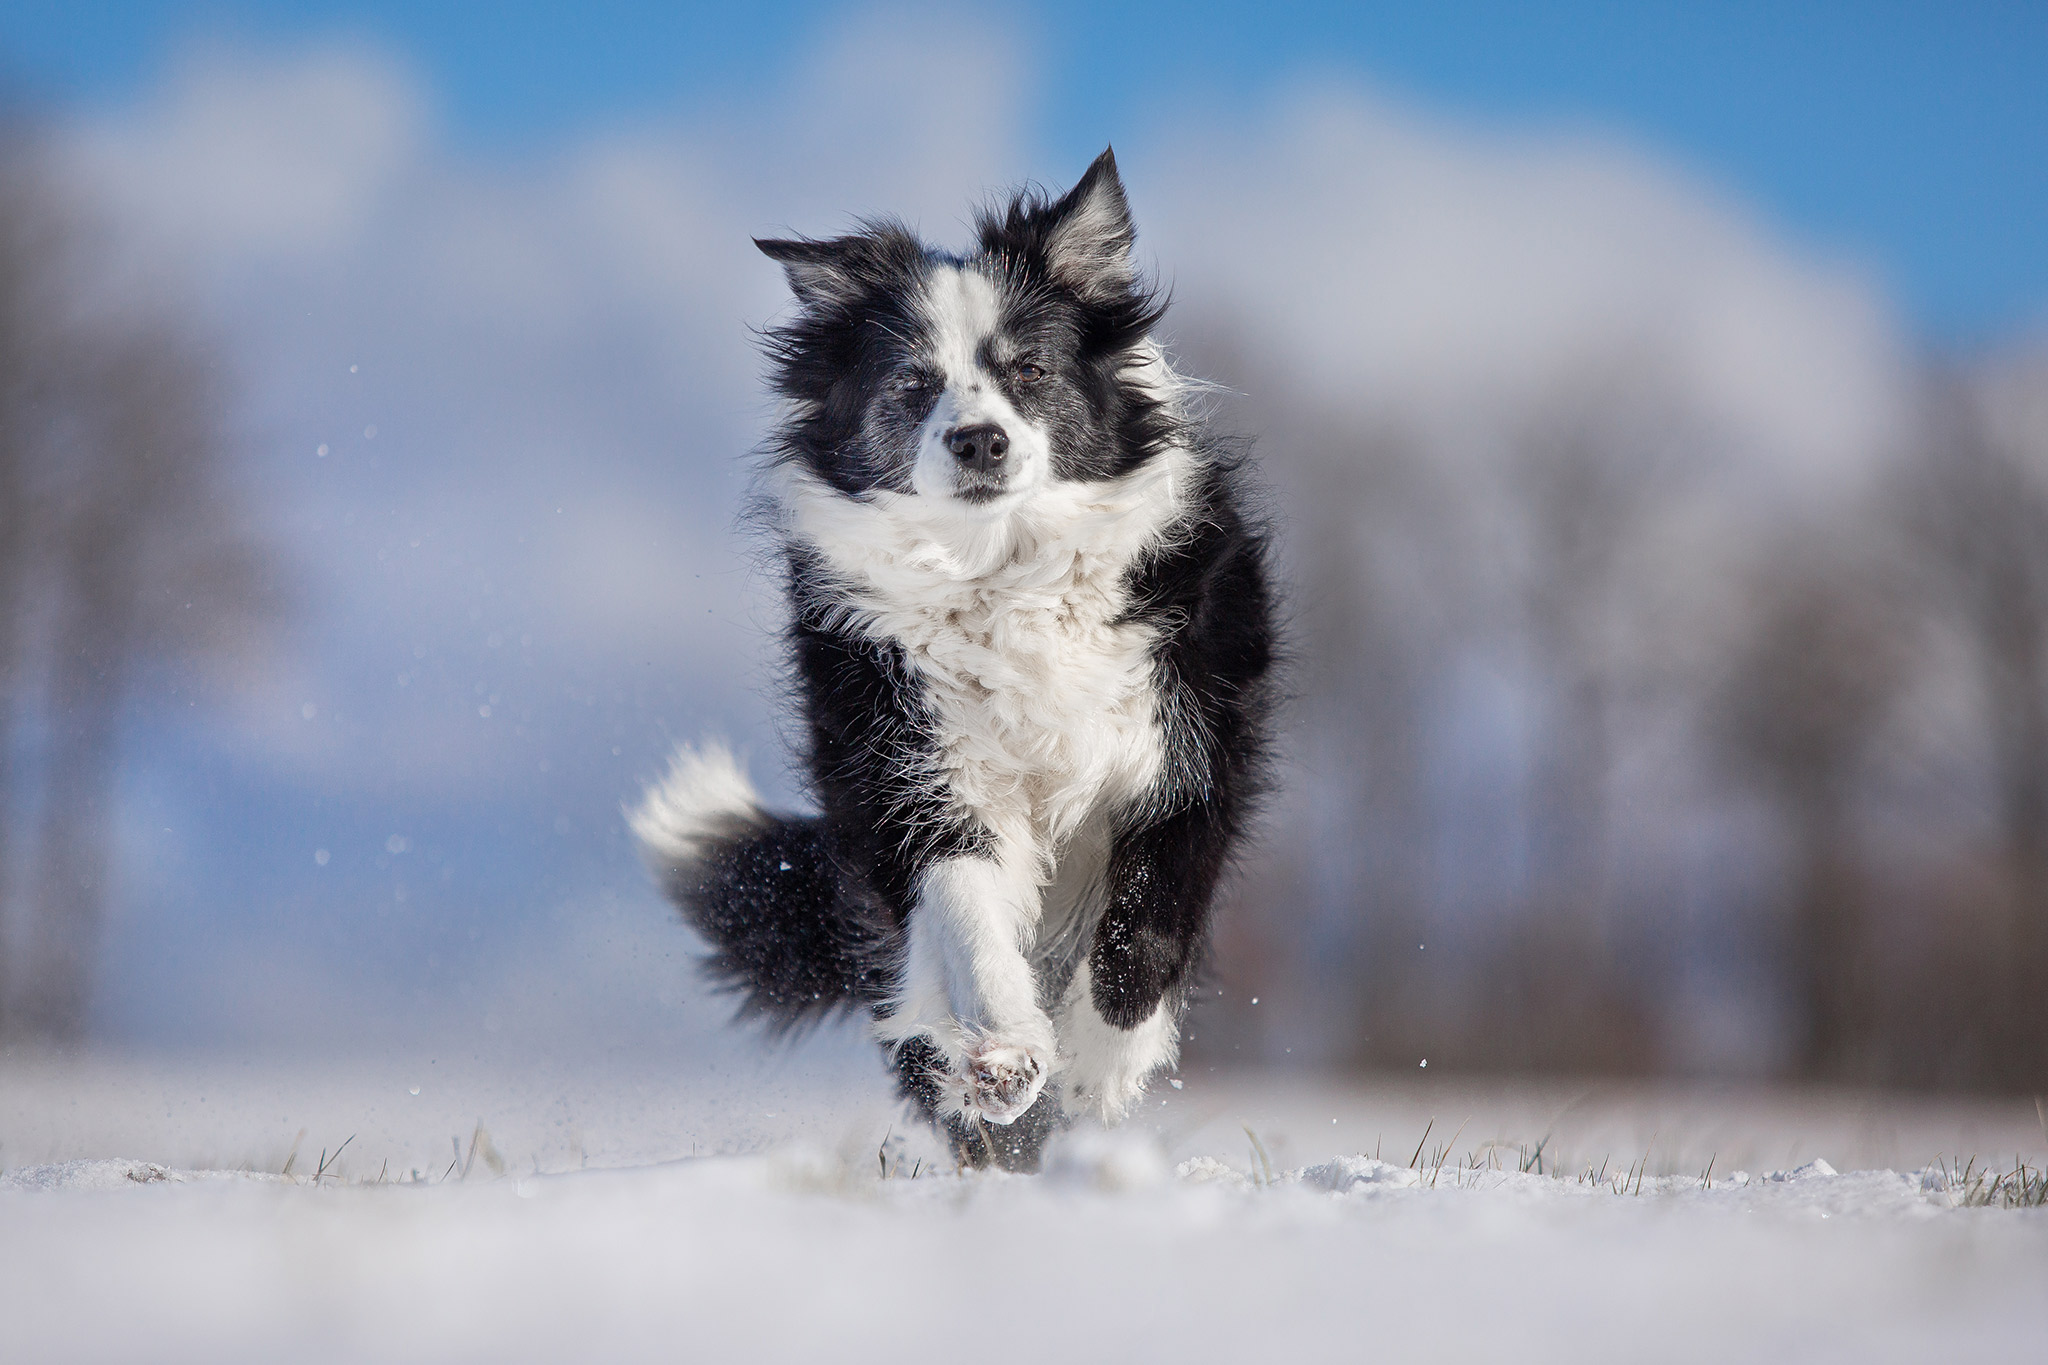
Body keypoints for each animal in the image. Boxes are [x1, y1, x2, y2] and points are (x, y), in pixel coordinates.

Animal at [634, 152, 1277, 1178]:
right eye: (911, 382)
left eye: (1031, 369)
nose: (980, 439)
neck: (1004, 571)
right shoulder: (908, 765)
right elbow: (965, 906)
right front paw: (1009, 1055)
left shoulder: (1191, 745)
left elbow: (1147, 927)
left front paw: (1101, 1065)